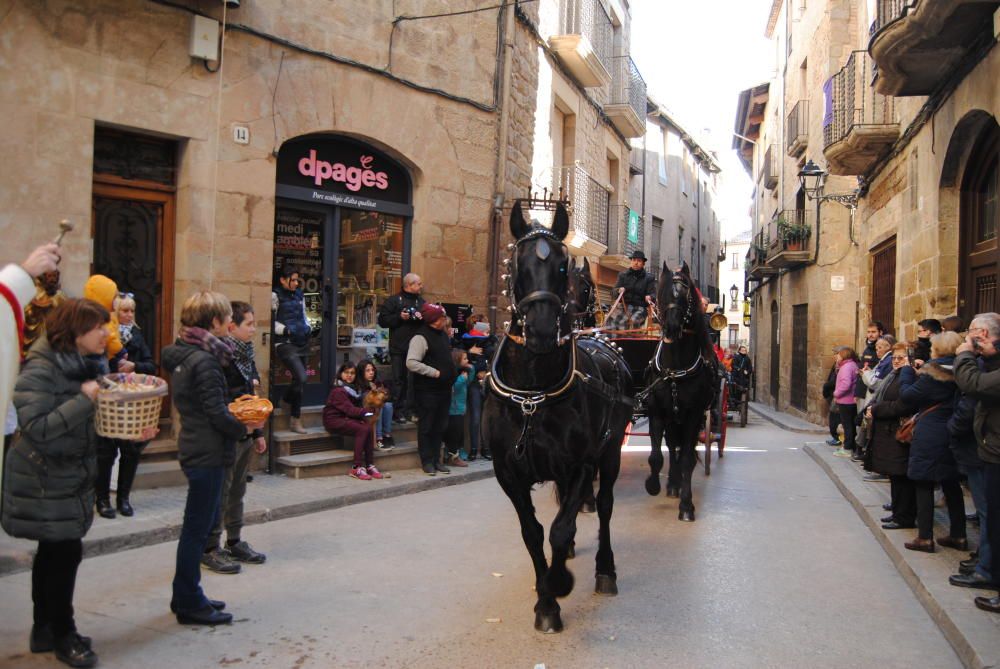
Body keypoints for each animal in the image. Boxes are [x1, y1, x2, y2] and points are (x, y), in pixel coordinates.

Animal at [484, 202, 632, 632]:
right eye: (515, 263)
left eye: (562, 266)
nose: (541, 330)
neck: (532, 395)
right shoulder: (508, 472)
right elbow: (534, 533)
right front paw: (546, 600)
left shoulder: (582, 464)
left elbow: (561, 528)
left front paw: (557, 584)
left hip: (610, 454)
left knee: (604, 506)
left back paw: (604, 569)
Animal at [640, 260, 720, 520]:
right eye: (663, 294)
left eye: (688, 296)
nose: (672, 328)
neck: (675, 369)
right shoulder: (657, 413)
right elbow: (656, 456)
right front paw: (653, 484)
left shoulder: (693, 416)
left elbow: (686, 459)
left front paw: (686, 505)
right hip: (672, 420)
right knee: (671, 445)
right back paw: (672, 484)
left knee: (682, 450)